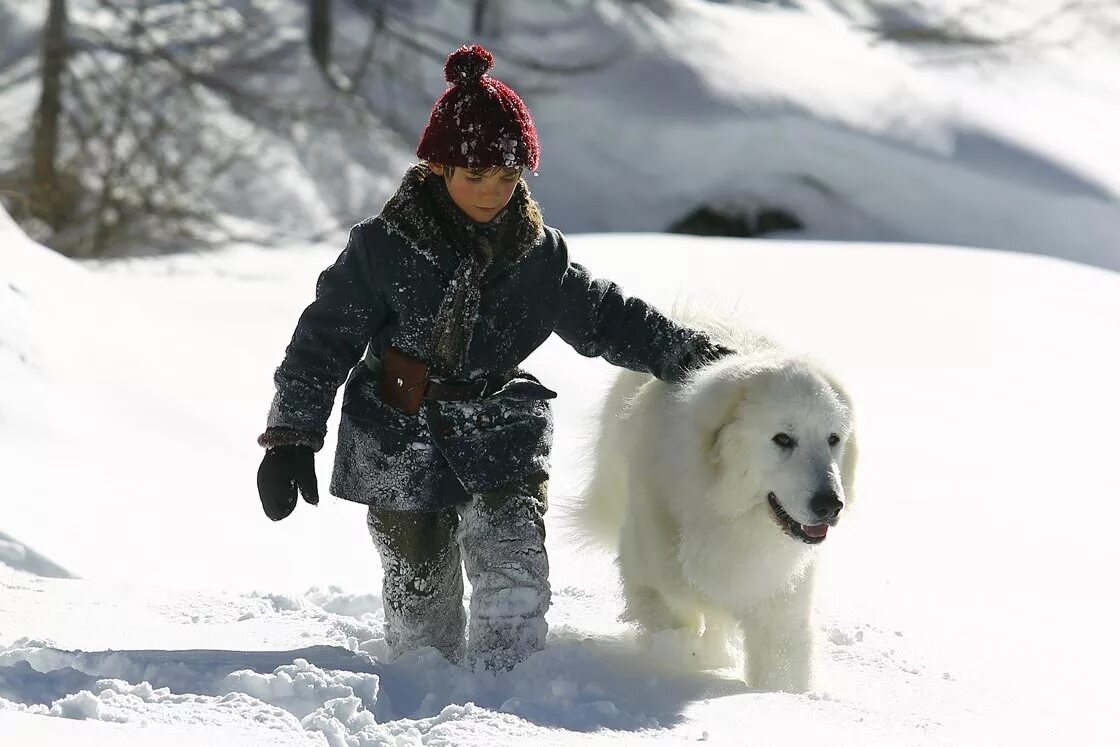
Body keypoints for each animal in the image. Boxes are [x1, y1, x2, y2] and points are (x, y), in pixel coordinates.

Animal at [573, 313, 860, 694]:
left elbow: (782, 666)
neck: (729, 517)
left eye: (833, 439)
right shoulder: (652, 580)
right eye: (783, 439)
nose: (831, 504)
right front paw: (692, 660)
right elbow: (674, 619)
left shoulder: (781, 604)